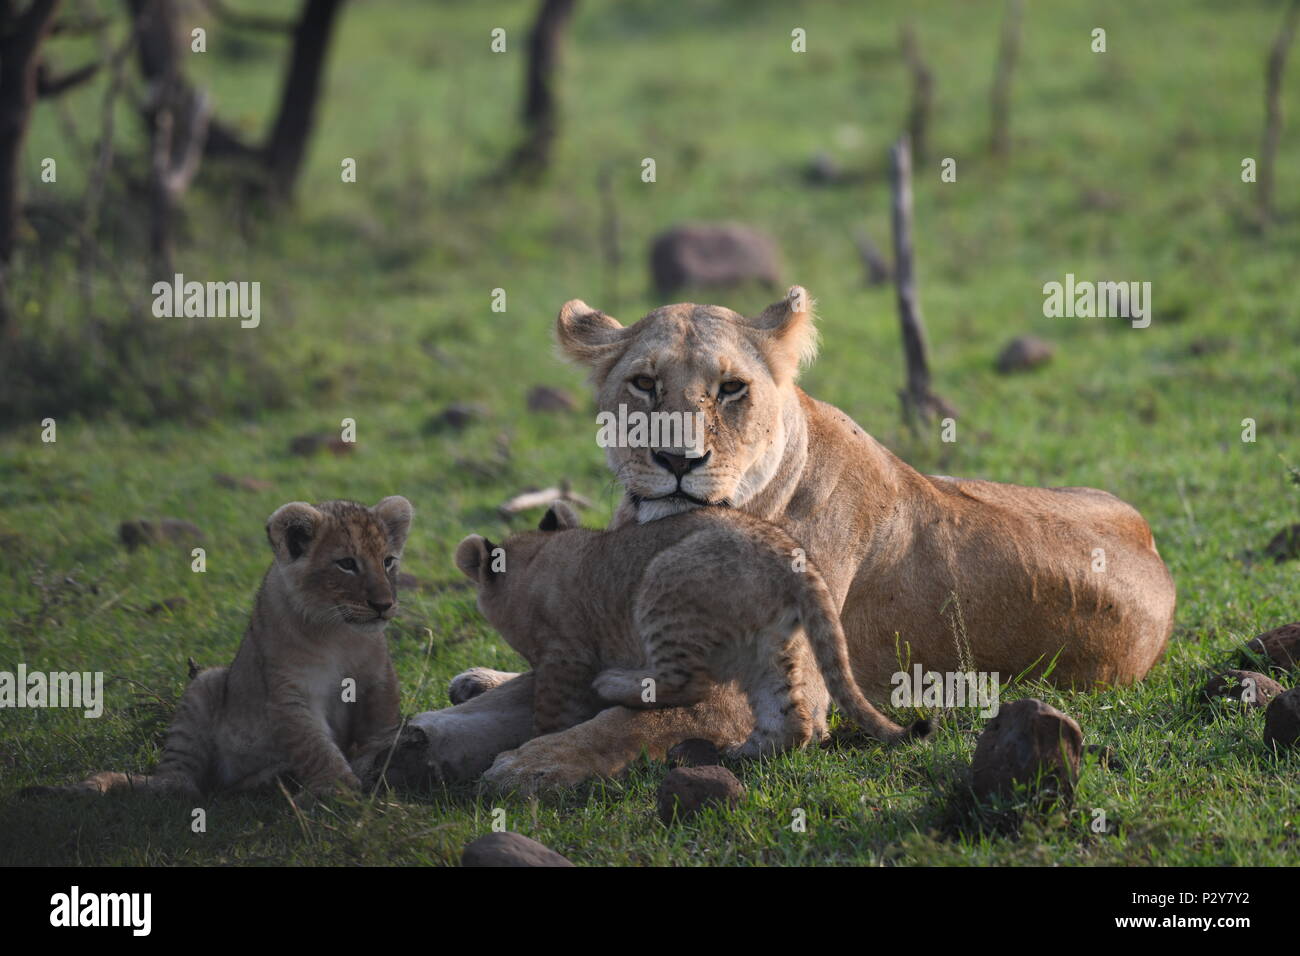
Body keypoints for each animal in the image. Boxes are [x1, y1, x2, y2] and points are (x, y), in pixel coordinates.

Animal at [400, 287, 1175, 792]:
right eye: (644, 383)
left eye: (731, 389)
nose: (677, 460)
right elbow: (528, 689)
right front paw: (443, 720)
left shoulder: (756, 686)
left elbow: (626, 722)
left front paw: (535, 761)